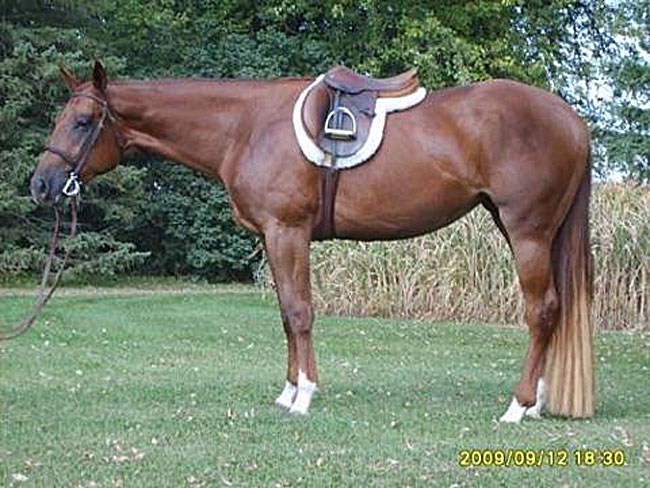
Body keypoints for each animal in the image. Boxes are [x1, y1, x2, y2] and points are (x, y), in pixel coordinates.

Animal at [30, 61, 594, 422]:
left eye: (82, 121)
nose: (41, 185)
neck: (247, 127)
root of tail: (572, 120)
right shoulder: (272, 236)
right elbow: (286, 313)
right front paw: (287, 393)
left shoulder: (289, 232)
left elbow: (300, 312)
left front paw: (304, 396)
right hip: (524, 228)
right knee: (555, 309)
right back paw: (538, 400)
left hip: (527, 231)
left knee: (542, 310)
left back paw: (517, 407)